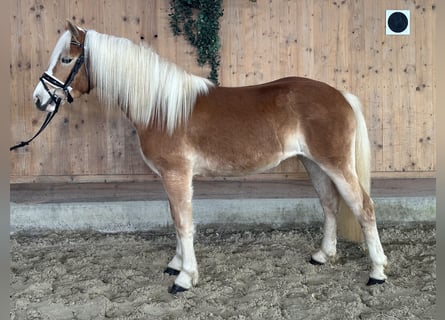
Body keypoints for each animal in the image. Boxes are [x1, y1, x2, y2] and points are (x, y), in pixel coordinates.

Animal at [32, 21, 386, 294]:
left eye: (66, 59)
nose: (39, 100)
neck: (161, 107)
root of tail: (340, 95)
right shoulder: (170, 177)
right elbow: (175, 219)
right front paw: (176, 264)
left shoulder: (177, 174)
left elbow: (184, 223)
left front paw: (185, 278)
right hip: (314, 164)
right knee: (330, 204)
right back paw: (324, 255)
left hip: (336, 164)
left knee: (364, 207)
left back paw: (377, 272)